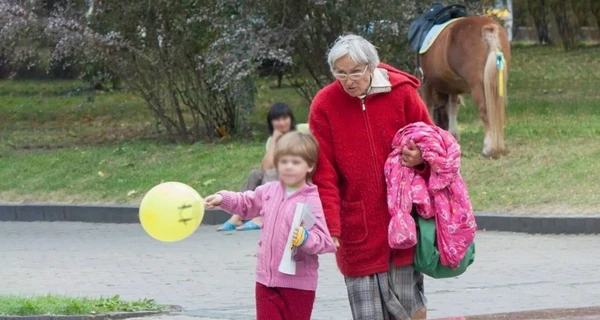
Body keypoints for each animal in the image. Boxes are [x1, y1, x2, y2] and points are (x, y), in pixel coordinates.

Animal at [418, 15, 510, 158]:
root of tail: (488, 29)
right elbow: (452, 106)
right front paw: (453, 135)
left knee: (485, 112)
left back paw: (489, 149)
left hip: (478, 86)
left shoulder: (427, 82)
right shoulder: (452, 86)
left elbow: (429, 107)